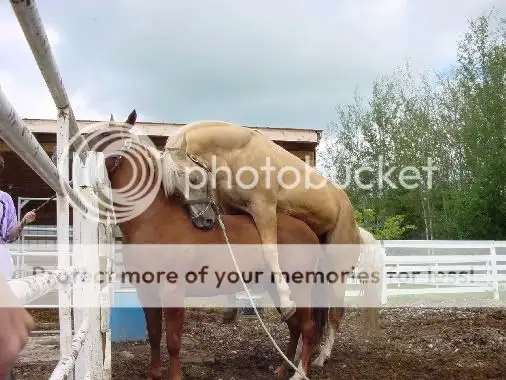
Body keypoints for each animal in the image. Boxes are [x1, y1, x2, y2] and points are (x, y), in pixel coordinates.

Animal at [89, 111, 330, 380]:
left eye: (105, 136)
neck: (155, 219)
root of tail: (310, 232)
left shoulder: (172, 292)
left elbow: (173, 340)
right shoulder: (146, 291)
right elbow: (154, 336)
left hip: (300, 287)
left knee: (308, 327)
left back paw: (299, 373)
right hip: (278, 290)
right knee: (294, 325)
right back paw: (282, 369)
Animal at [163, 121, 384, 326]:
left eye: (194, 178)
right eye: (175, 190)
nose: (203, 220)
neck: (239, 154)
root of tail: (356, 228)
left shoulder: (265, 209)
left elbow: (270, 252)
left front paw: (286, 303)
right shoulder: (234, 211)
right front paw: (230, 310)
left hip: (338, 268)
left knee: (336, 315)